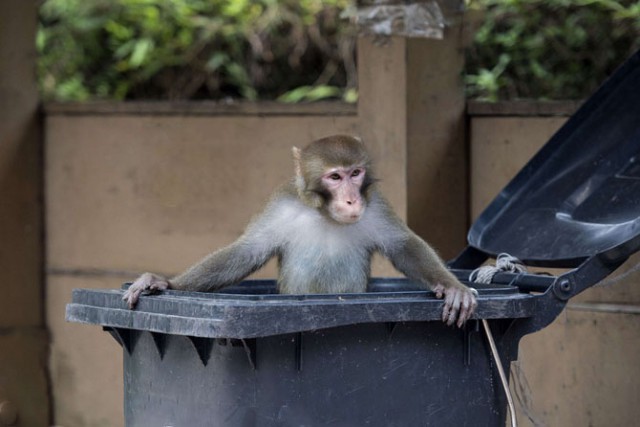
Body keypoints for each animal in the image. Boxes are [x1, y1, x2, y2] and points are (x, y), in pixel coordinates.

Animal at [124, 135, 476, 326]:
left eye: (356, 173)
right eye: (335, 177)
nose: (351, 199)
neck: (324, 214)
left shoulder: (374, 204)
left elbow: (403, 244)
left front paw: (452, 286)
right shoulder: (280, 205)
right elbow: (246, 251)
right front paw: (164, 283)